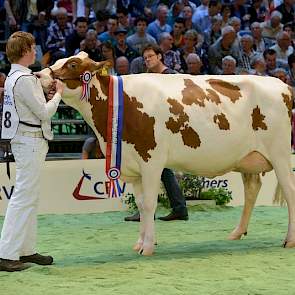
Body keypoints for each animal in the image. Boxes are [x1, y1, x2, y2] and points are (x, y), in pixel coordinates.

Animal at [40, 52, 295, 256]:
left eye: (72, 64)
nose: (40, 74)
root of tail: (283, 86)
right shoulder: (132, 166)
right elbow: (141, 204)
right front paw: (140, 242)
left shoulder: (151, 161)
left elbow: (150, 204)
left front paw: (148, 247)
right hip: (248, 158)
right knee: (252, 190)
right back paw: (237, 232)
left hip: (281, 153)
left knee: (290, 191)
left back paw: (289, 240)